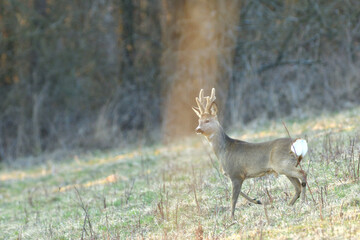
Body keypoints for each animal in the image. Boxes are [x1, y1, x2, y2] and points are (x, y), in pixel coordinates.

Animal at [193, 88, 308, 219]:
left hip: (283, 164)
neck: (224, 151)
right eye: (199, 121)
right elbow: (239, 193)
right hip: (286, 167)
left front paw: (231, 217)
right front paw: (257, 201)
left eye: (207, 120)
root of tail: (298, 142)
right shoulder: (236, 175)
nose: (197, 129)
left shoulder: (236, 173)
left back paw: (303, 202)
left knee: (303, 175)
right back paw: (290, 204)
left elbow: (233, 199)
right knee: (298, 186)